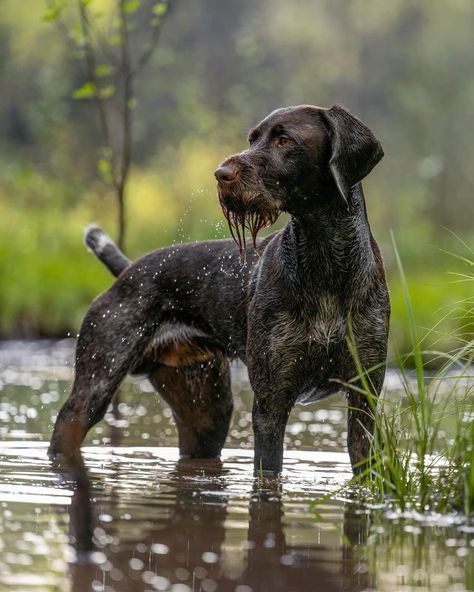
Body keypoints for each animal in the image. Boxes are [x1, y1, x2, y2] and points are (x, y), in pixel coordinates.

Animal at [50, 104, 388, 476]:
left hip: (206, 414)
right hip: (95, 386)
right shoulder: (271, 404)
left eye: (285, 139)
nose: (221, 173)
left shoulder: (364, 397)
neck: (327, 265)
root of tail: (127, 270)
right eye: (252, 139)